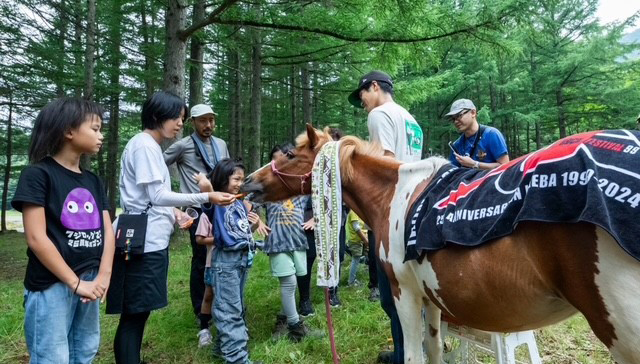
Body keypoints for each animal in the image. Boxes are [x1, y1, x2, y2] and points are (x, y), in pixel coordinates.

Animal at [244, 124, 640, 362]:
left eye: (290, 154)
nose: (248, 181)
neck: (394, 195)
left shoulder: (405, 294)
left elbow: (412, 353)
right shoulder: (431, 298)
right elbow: (434, 348)